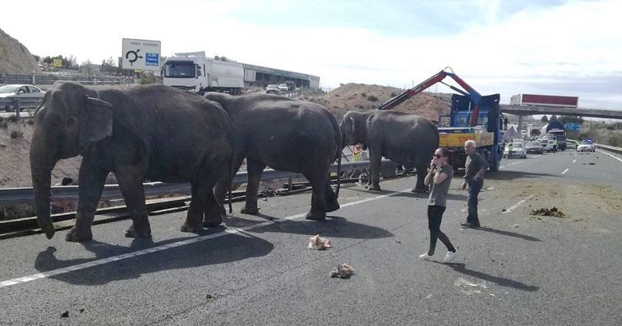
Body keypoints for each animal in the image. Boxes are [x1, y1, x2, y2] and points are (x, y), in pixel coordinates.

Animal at [29, 81, 234, 241]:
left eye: (58, 122)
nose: (51, 235)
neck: (93, 94)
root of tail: (226, 116)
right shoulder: (98, 144)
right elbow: (88, 179)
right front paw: (74, 238)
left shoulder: (126, 140)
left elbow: (128, 179)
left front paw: (135, 234)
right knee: (201, 184)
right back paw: (211, 223)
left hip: (216, 151)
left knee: (200, 185)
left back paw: (189, 228)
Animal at [204, 91, 342, 220]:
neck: (227, 98)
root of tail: (332, 119)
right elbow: (254, 167)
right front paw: (248, 212)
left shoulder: (238, 135)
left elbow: (234, 164)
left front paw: (222, 214)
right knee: (317, 176)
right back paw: (332, 208)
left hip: (316, 147)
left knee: (315, 175)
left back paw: (313, 217)